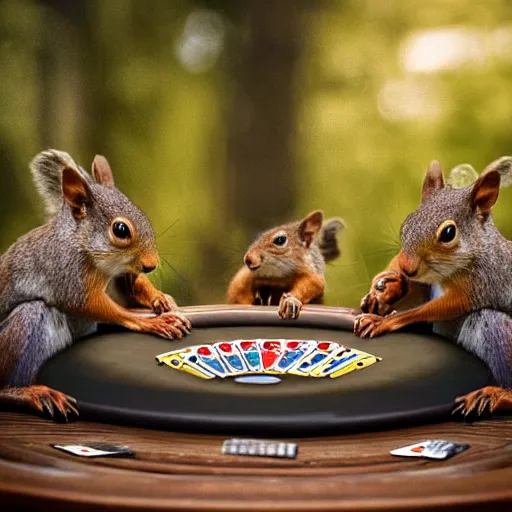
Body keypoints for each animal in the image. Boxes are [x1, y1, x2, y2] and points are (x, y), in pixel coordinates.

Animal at [0, 148, 191, 420]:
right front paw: (154, 323)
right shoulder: (68, 273)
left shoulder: (124, 277)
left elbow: (136, 288)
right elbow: (97, 306)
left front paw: (160, 298)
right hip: (22, 328)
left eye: (144, 215)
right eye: (120, 229)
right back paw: (31, 393)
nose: (151, 264)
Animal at [354, 158, 512, 418]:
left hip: (500, 332)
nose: (406, 266)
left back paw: (495, 395)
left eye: (448, 233)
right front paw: (385, 288)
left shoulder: (481, 283)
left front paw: (383, 321)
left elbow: (439, 307)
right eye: (406, 223)